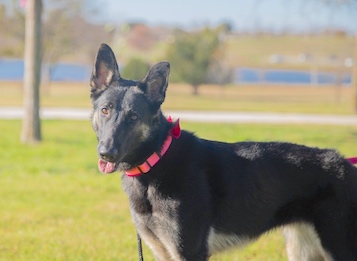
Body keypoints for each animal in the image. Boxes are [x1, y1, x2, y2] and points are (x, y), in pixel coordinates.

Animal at [89, 43, 356, 258]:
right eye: (105, 110)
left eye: (133, 116)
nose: (106, 153)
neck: (157, 160)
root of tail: (346, 164)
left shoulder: (190, 252)